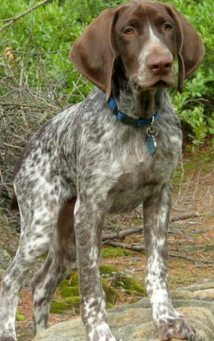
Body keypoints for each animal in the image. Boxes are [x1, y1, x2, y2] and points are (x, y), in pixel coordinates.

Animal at [0, 0, 204, 340]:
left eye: (166, 27)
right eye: (129, 30)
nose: (161, 64)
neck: (138, 123)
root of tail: (28, 149)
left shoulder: (159, 198)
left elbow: (157, 267)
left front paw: (167, 318)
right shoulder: (90, 210)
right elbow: (91, 284)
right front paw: (99, 330)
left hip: (65, 239)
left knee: (41, 285)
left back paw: (43, 331)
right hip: (41, 226)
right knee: (10, 280)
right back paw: (9, 332)